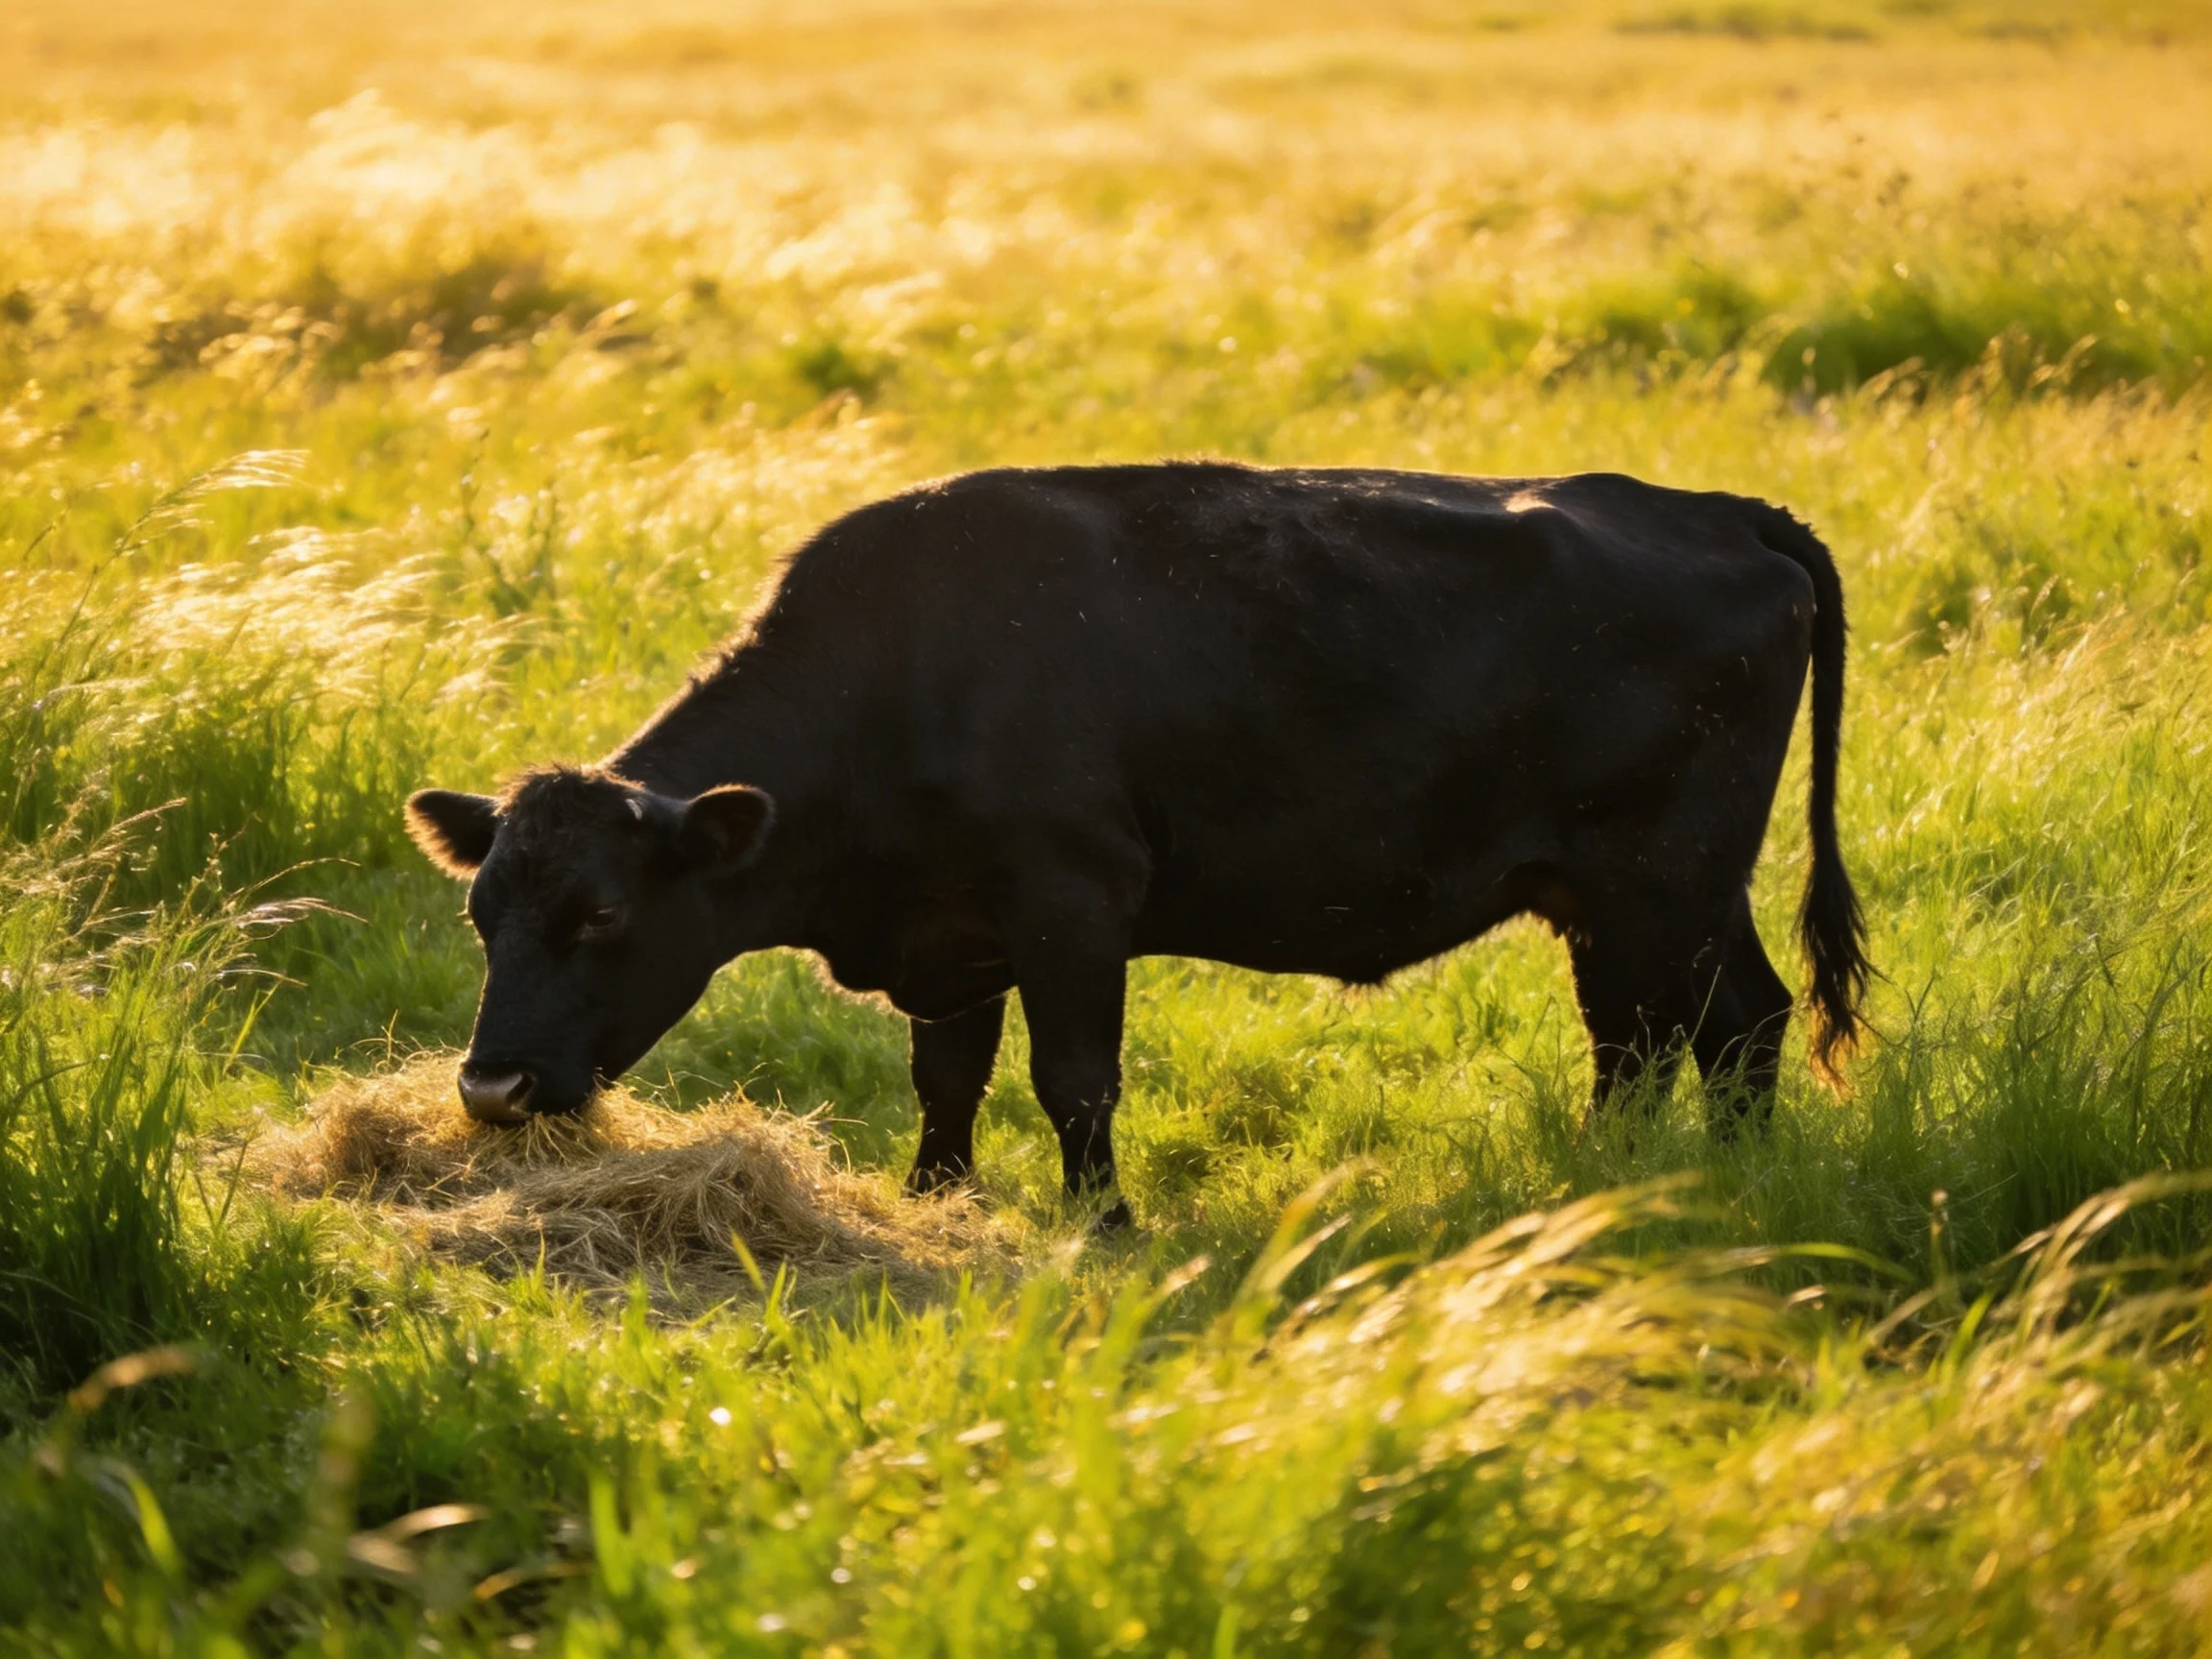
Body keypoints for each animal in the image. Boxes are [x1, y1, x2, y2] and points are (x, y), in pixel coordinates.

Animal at [405, 463, 1868, 1224]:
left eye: (602, 915)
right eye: (481, 916)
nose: (490, 1091)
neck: (906, 673)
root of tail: (1719, 508)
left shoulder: (1072, 907)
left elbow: (1074, 1081)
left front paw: (1101, 1221)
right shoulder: (955, 938)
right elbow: (948, 1077)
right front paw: (937, 1197)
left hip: (1668, 882)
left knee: (1732, 1022)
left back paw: (1721, 1181)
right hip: (1617, 895)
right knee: (1646, 1038)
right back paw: (1614, 1174)